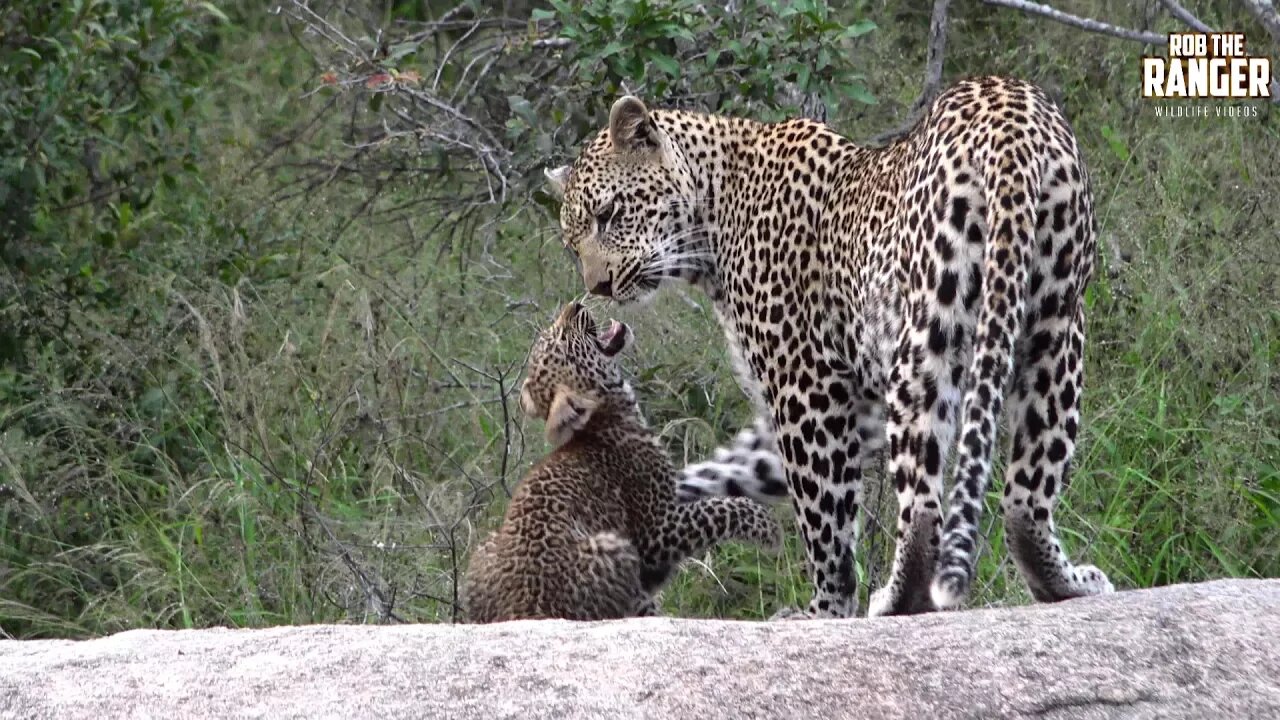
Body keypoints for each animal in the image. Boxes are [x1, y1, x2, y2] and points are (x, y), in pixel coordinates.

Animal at [545, 78, 1116, 617]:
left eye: (609, 213)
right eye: (572, 243)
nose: (597, 286)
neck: (713, 215)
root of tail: (1011, 123)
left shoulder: (804, 385)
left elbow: (824, 517)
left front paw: (825, 609)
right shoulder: (853, 400)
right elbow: (734, 469)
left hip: (928, 336)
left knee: (922, 502)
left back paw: (896, 598)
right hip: (1056, 324)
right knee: (1028, 491)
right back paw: (1065, 582)